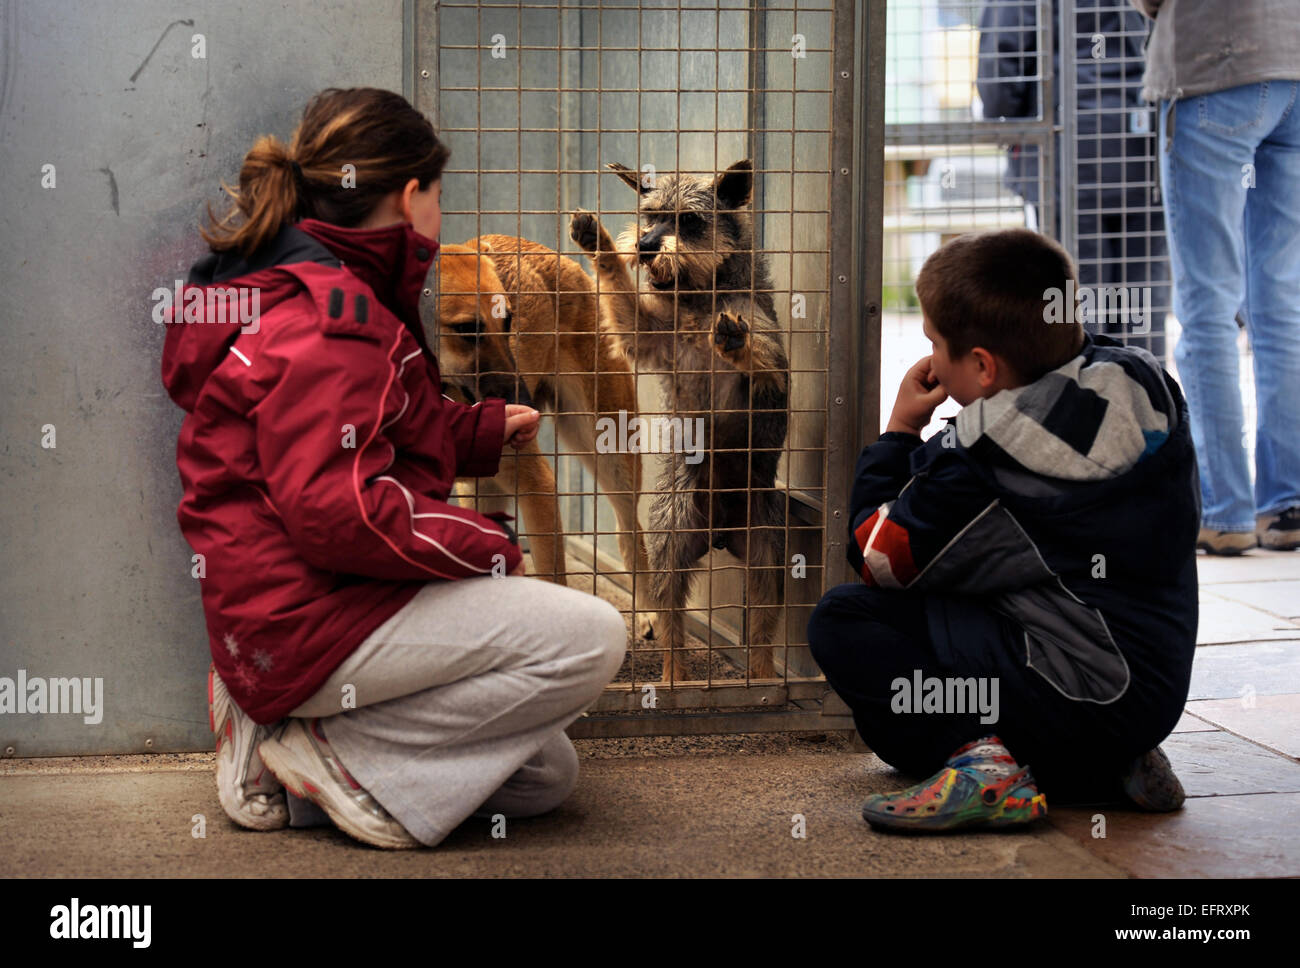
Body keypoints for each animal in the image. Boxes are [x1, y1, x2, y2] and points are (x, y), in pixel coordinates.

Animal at [426, 236, 655, 639]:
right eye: (467, 329)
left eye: (508, 322)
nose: (526, 406)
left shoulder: (539, 488)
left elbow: (554, 579)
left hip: (608, 452)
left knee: (630, 534)